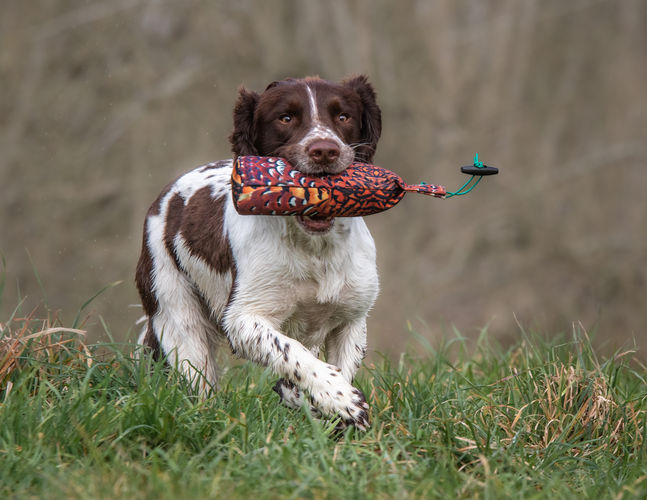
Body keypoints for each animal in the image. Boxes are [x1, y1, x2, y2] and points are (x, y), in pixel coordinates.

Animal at [135, 75, 382, 430]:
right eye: (286, 117)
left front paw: (330, 409)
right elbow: (291, 351)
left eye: (343, 116)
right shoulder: (242, 318)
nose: (324, 150)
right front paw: (341, 399)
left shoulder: (351, 318)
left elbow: (332, 365)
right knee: (198, 377)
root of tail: (164, 199)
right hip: (175, 310)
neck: (313, 248)